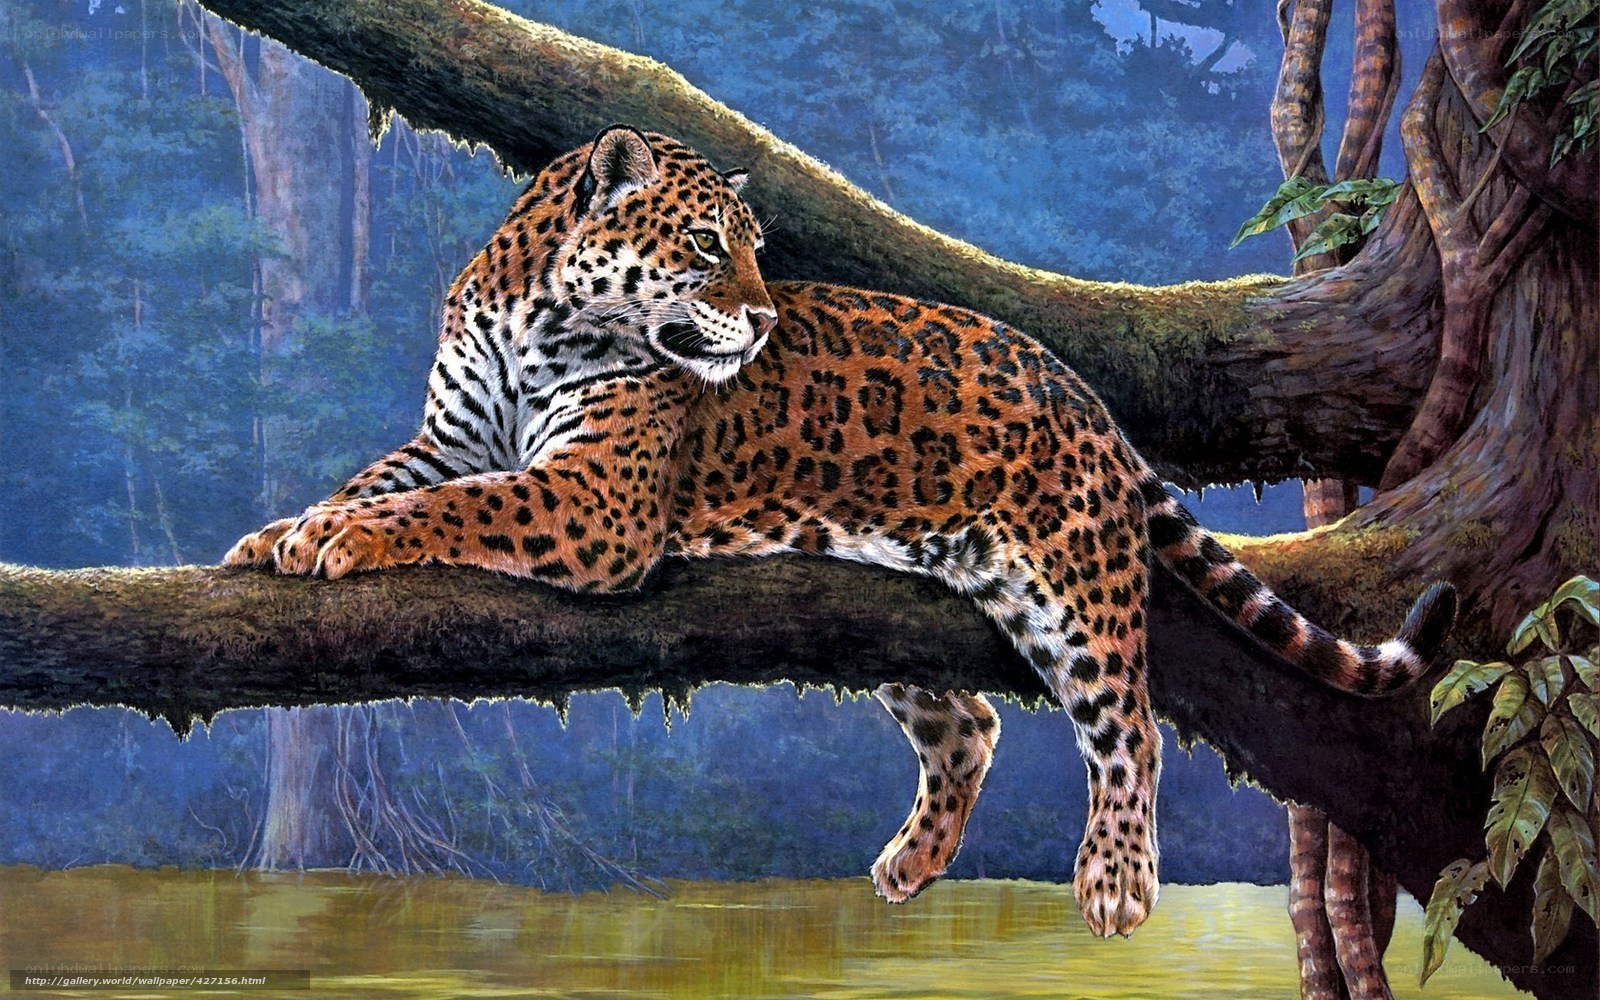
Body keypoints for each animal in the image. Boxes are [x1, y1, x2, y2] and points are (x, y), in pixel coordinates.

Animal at [225, 126, 1456, 937]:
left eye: (756, 248)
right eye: (705, 244)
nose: (767, 317)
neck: (538, 318)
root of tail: (1080, 387)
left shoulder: (595, 496)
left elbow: (455, 505)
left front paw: (334, 542)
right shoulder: (451, 435)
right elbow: (389, 479)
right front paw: (280, 530)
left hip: (1075, 584)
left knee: (1128, 725)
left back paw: (1113, 879)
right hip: (900, 602)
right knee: (971, 725)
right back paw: (909, 865)